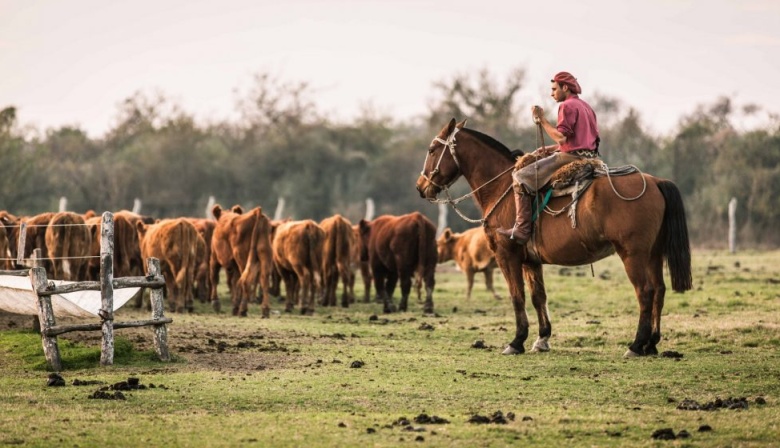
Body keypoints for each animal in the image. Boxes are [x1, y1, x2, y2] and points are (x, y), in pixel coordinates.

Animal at [418, 119, 692, 356]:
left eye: (431, 150)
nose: (421, 187)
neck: (502, 188)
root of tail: (656, 181)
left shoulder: (507, 256)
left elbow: (517, 296)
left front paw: (516, 341)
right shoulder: (531, 261)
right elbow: (538, 296)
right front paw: (542, 338)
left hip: (632, 255)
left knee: (645, 292)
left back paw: (636, 345)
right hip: (653, 254)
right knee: (659, 290)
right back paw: (652, 343)